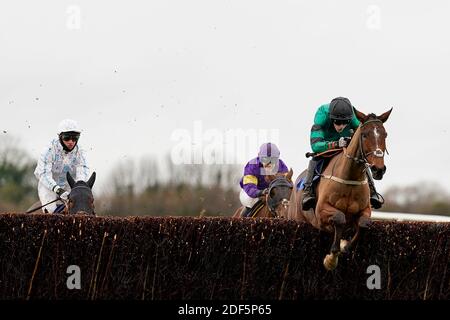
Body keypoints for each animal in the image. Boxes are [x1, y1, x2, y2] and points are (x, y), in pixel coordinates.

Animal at [286, 107, 392, 270]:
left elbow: (363, 224)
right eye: (364, 135)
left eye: (385, 134)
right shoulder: (321, 212)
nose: (378, 169)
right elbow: (340, 218)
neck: (349, 177)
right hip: (296, 218)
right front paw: (331, 258)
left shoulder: (365, 209)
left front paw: (346, 246)